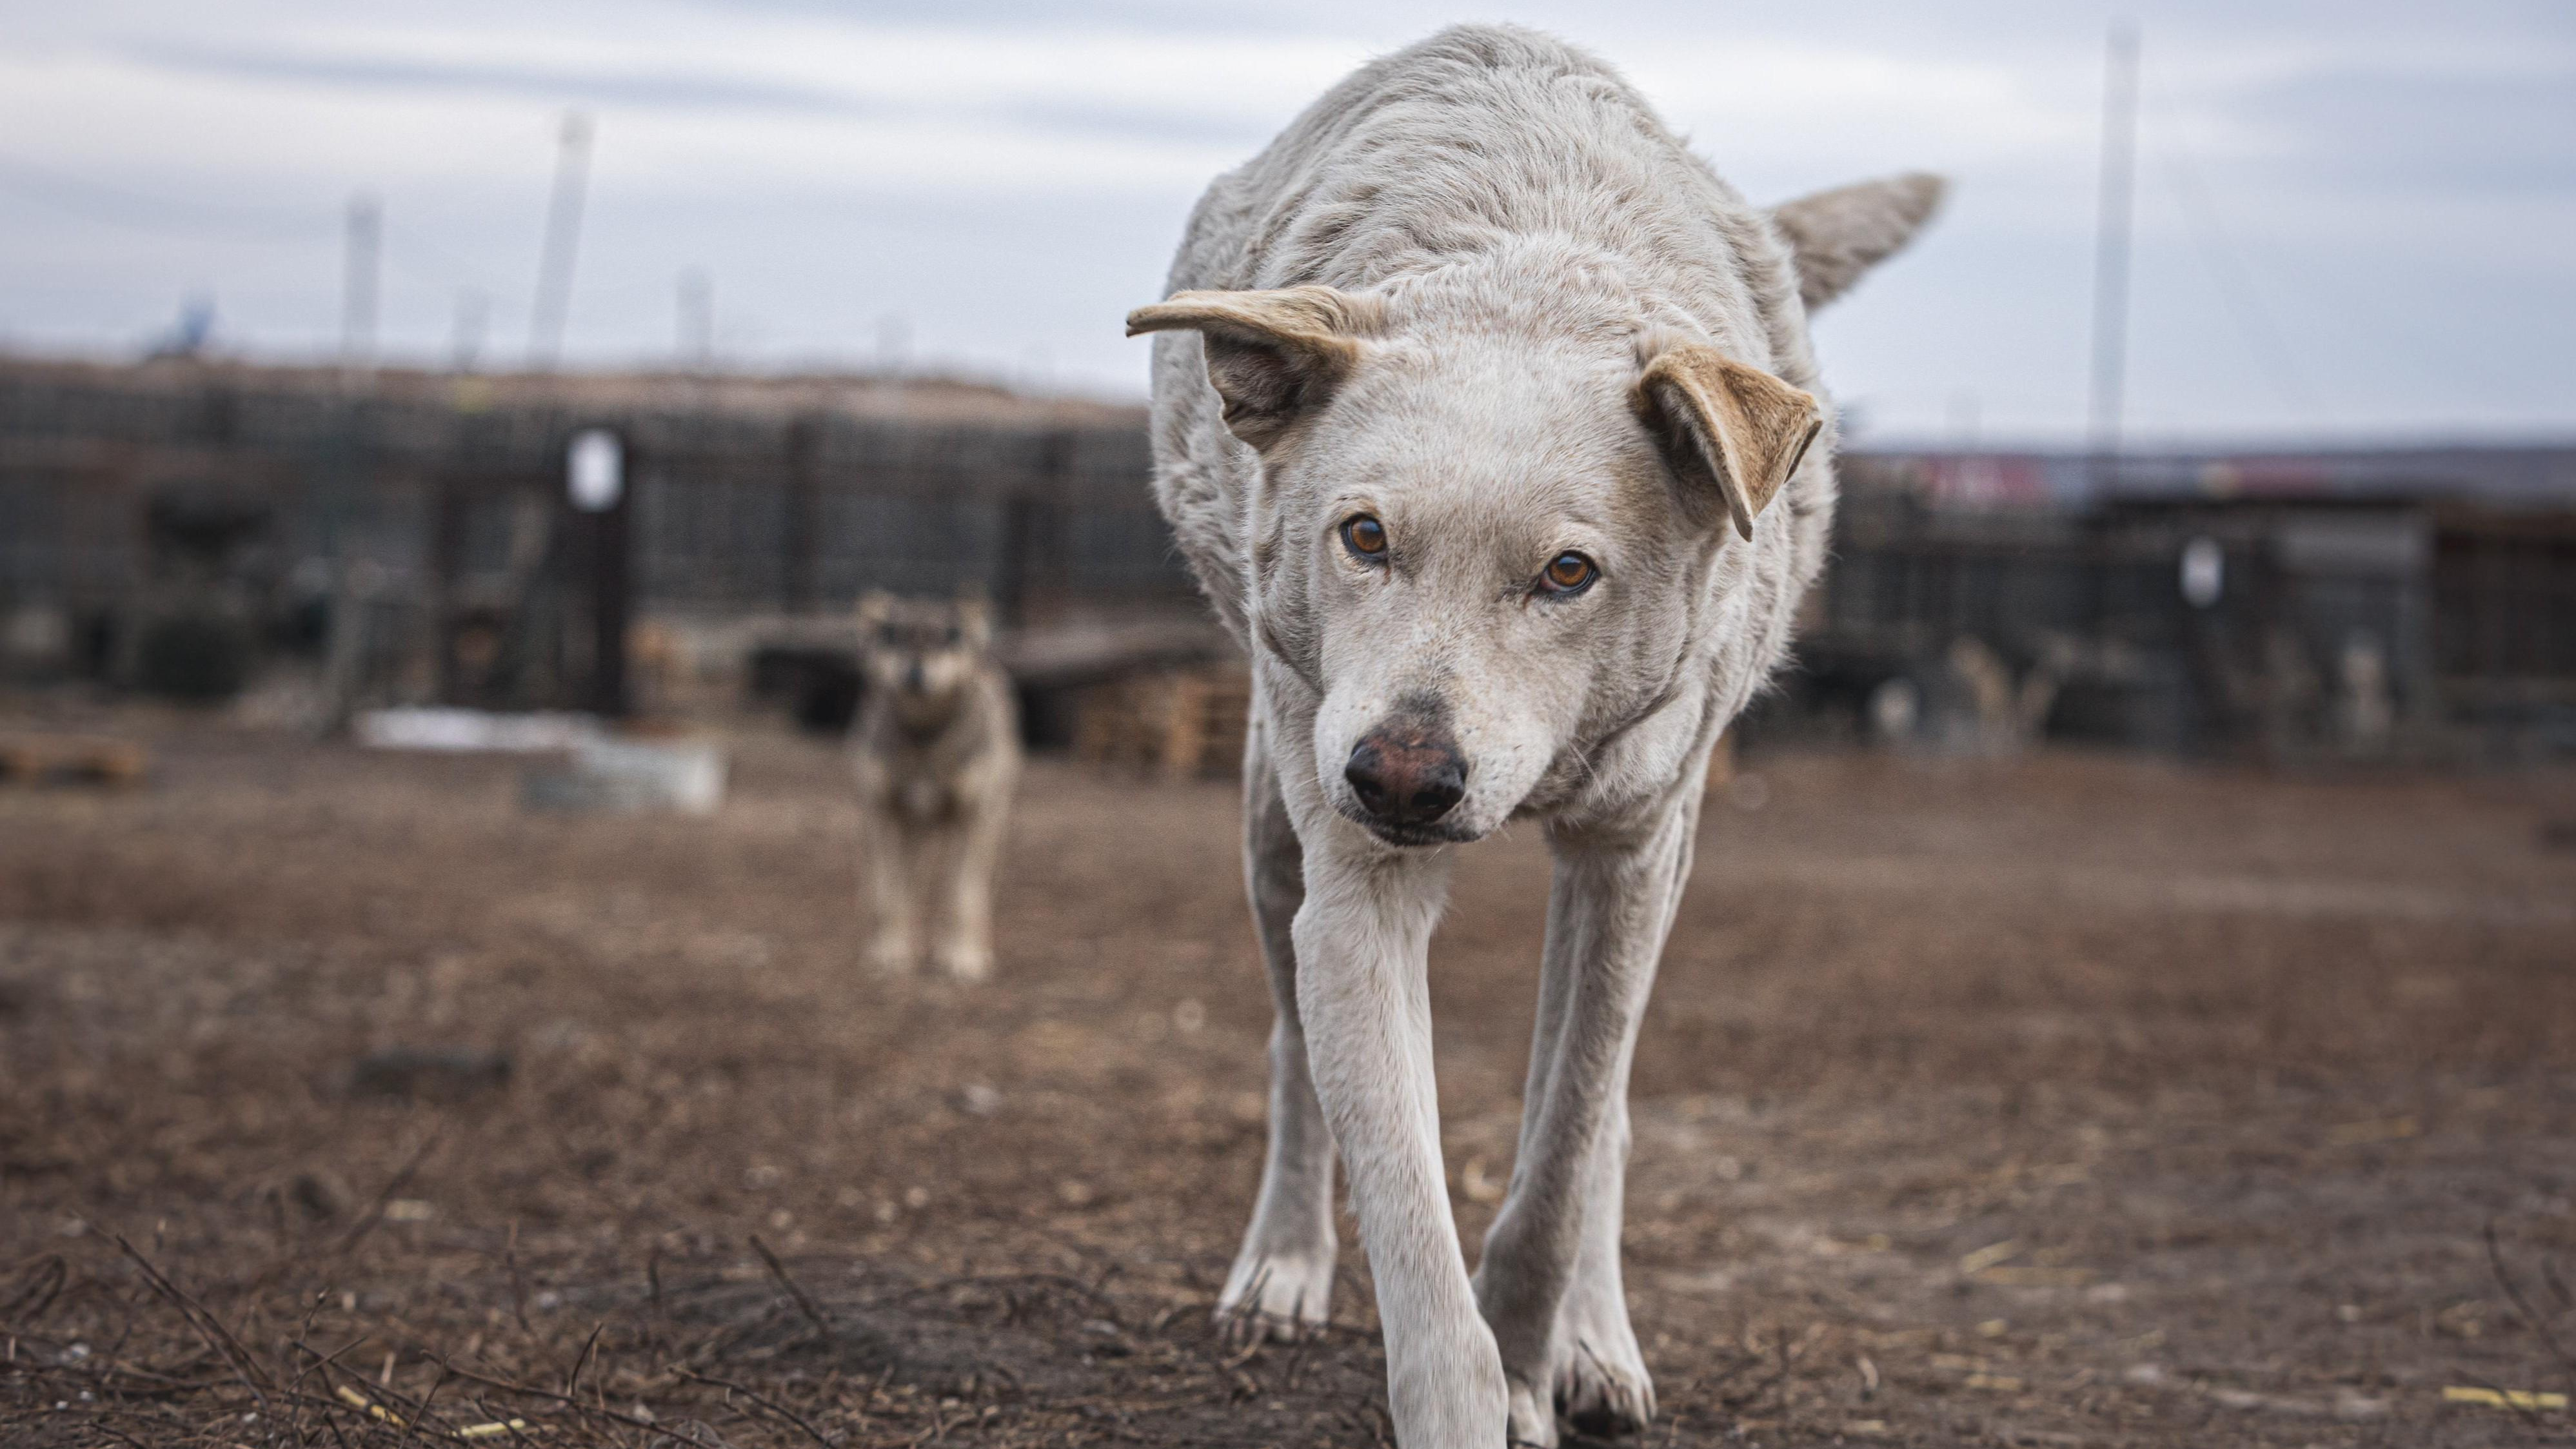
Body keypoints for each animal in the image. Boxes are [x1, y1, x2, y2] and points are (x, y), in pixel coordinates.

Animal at [855, 591, 1015, 988]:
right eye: (895, 638)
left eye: (948, 638)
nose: (915, 673)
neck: (925, 737)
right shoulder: (882, 819)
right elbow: (889, 896)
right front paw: (890, 953)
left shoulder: (972, 821)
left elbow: (963, 898)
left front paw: (965, 959)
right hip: (918, 833)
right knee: (914, 887)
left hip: (986, 828)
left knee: (966, 890)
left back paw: (956, 948)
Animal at [1128, 25, 1937, 1449]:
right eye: (1363, 536)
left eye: (1567, 573)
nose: (1400, 777)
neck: (1526, 269)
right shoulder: (1356, 888)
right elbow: (1409, 1225)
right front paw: (1471, 1387)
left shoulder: (1629, 855)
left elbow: (1563, 1153)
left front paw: (1535, 1358)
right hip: (1271, 818)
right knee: (1290, 1053)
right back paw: (1281, 1263)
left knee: (1600, 1113)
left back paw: (1595, 1343)